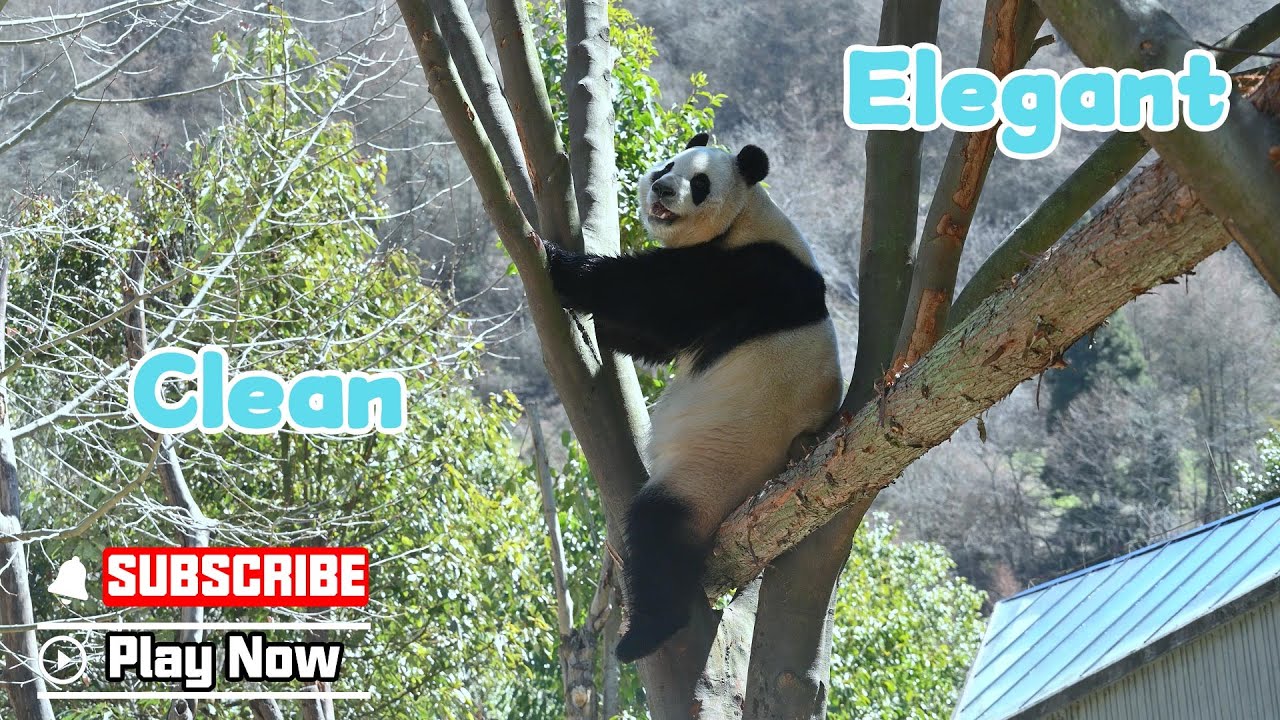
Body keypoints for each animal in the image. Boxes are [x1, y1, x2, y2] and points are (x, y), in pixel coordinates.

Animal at [545, 133, 843, 663]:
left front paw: (560, 262)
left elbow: (655, 299)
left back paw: (645, 634)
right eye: (668, 164)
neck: (748, 212)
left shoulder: (746, 272)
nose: (662, 189)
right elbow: (651, 340)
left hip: (716, 472)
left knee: (659, 530)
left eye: (699, 183)